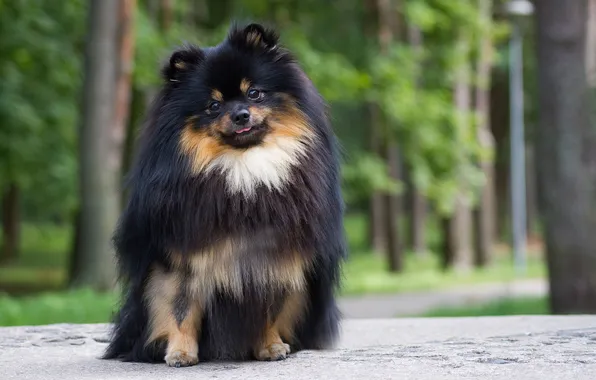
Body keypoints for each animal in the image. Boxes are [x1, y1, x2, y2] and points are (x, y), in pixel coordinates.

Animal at [102, 22, 344, 366]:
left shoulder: (274, 259)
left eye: (254, 92)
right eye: (214, 105)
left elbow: (269, 310)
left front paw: (271, 346)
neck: (243, 169)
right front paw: (180, 353)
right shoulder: (181, 261)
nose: (240, 115)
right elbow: (180, 310)